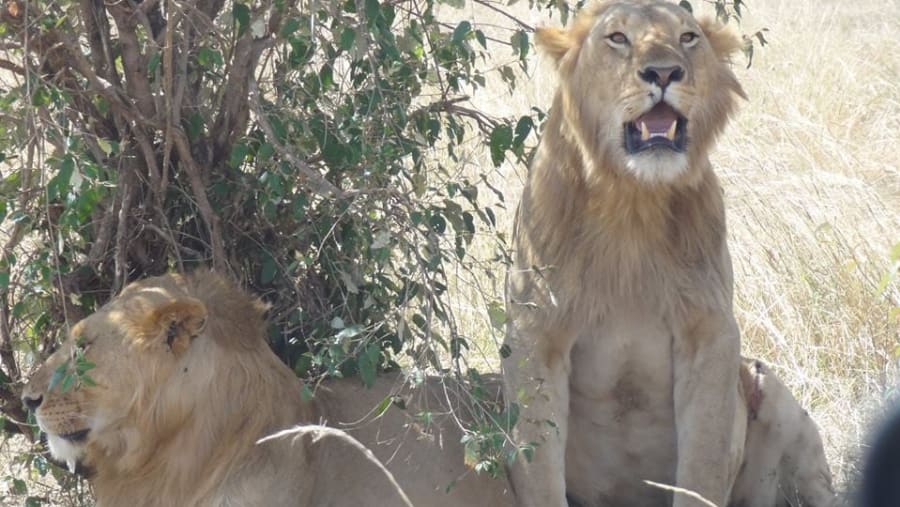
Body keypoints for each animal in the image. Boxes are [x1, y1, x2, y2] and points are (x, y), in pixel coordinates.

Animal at [502, 0, 770, 505]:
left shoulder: (711, 332)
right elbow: (538, 465)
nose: (663, 72)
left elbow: (702, 468)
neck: (632, 201)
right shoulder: (536, 333)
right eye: (618, 38)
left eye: (687, 38)